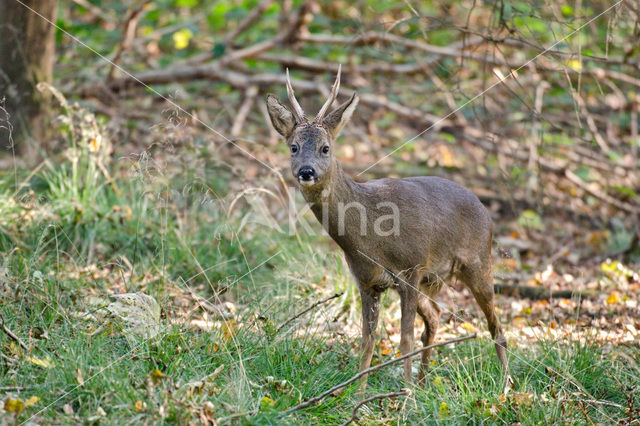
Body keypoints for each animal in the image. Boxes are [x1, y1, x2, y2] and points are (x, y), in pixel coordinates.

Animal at [264, 66, 510, 390]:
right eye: (293, 147)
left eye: (325, 148)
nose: (307, 171)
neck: (369, 237)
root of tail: (485, 210)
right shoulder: (368, 281)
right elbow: (367, 342)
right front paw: (358, 393)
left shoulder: (410, 269)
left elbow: (404, 340)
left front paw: (406, 395)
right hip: (431, 278)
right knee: (435, 316)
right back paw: (424, 381)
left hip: (477, 262)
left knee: (497, 328)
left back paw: (504, 387)